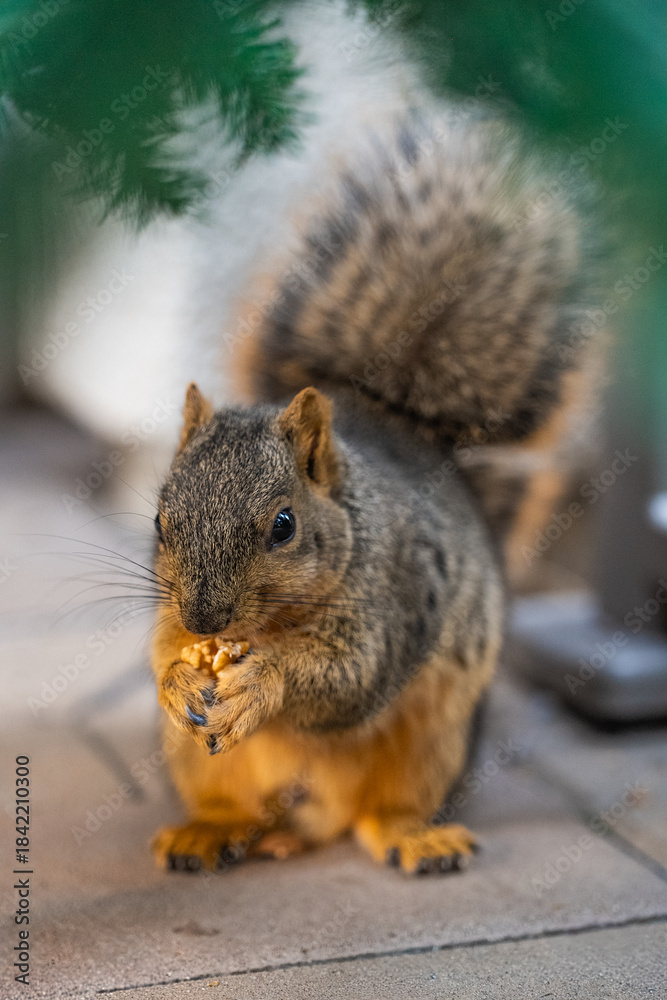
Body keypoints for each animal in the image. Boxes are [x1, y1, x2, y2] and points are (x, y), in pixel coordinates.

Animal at [150, 110, 595, 874]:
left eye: (283, 525)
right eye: (159, 521)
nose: (206, 621)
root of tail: (301, 815)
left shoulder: (399, 597)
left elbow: (350, 678)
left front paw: (264, 681)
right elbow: (160, 647)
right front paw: (177, 677)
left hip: (435, 740)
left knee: (384, 810)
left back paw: (416, 836)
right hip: (199, 759)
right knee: (233, 807)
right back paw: (207, 831)